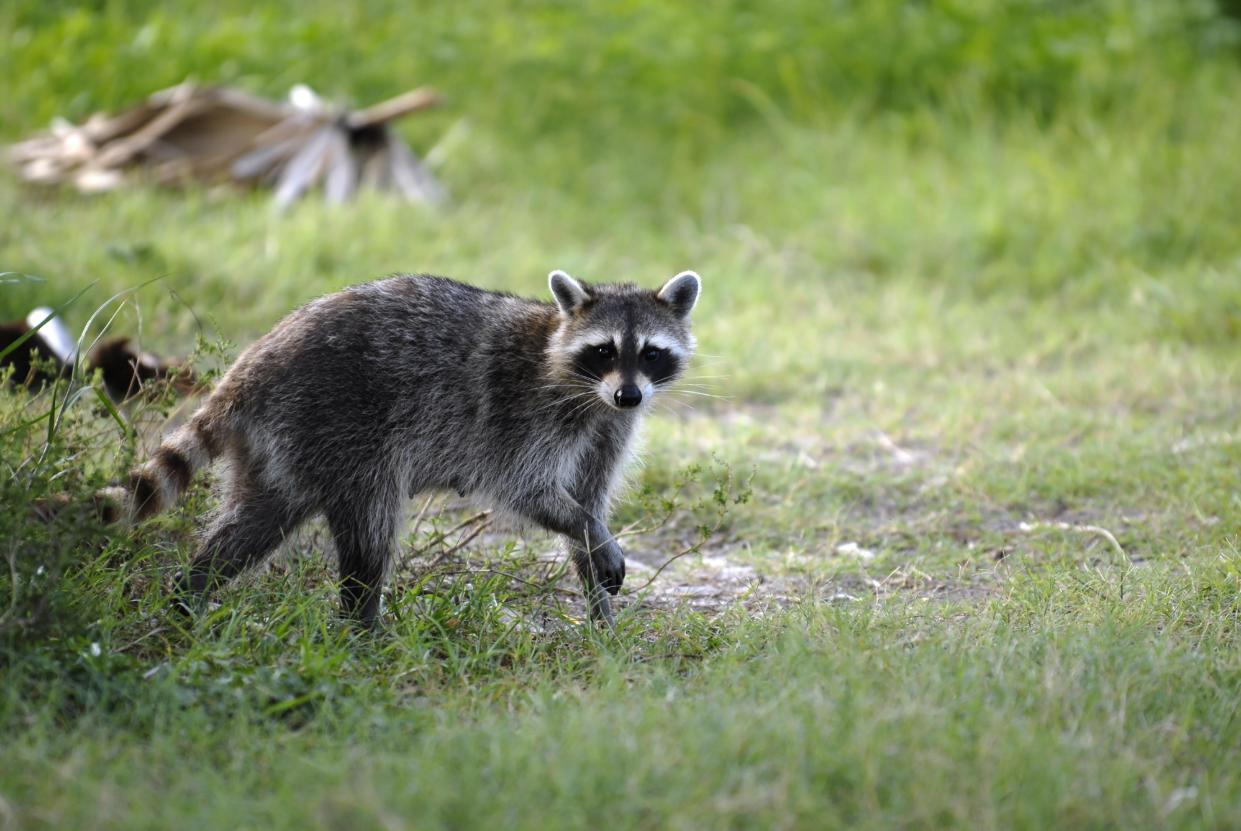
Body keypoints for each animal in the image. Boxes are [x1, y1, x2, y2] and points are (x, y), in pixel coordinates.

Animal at [128, 270, 709, 627]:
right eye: (604, 350)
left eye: (651, 353)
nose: (630, 395)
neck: (587, 390)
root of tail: (255, 360)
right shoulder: (522, 415)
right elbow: (528, 489)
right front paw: (592, 538)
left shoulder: (607, 430)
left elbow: (586, 503)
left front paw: (600, 611)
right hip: (339, 424)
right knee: (371, 530)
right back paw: (361, 623)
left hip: (282, 444)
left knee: (253, 521)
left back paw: (190, 592)